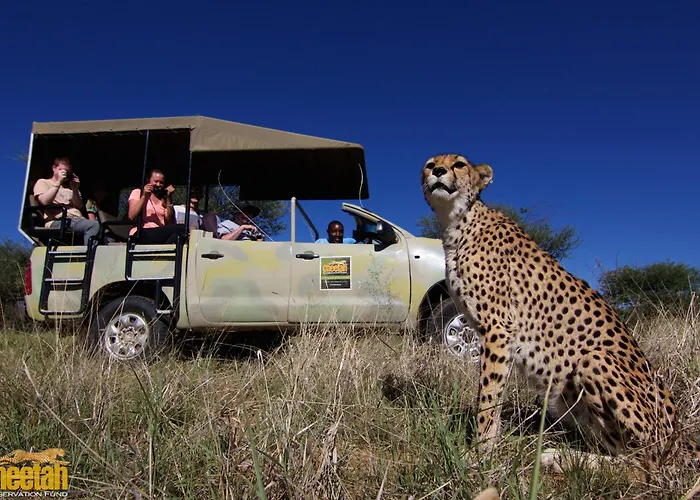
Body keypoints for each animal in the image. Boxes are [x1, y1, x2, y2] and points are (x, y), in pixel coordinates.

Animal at [420, 153, 699, 467]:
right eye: (430, 165)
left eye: (459, 164)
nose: (438, 171)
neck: (458, 222)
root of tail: (680, 434)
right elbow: (493, 395)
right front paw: (487, 447)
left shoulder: (499, 329)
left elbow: (488, 396)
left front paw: (478, 454)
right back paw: (557, 456)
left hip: (595, 361)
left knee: (641, 462)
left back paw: (558, 459)